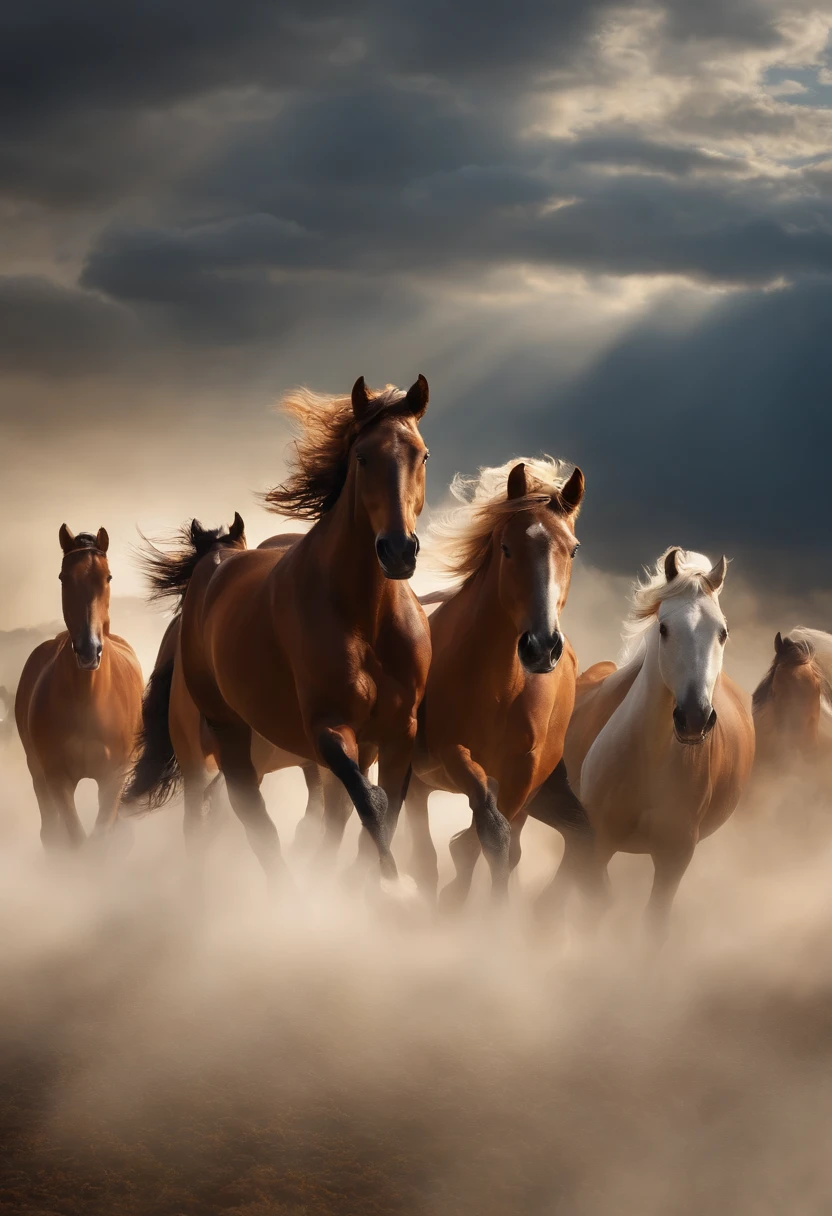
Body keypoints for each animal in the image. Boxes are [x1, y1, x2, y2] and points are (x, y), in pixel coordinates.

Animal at [15, 527, 142, 851]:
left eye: (107, 577)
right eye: (63, 577)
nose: (88, 650)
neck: (89, 699)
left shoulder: (113, 778)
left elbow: (100, 839)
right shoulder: (57, 779)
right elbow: (76, 841)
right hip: (37, 773)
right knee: (50, 832)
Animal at [130, 372, 433, 885]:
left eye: (422, 454)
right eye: (362, 456)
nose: (397, 551)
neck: (367, 616)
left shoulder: (400, 731)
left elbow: (381, 813)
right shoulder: (327, 726)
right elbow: (368, 804)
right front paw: (390, 886)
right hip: (224, 736)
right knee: (246, 817)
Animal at [403, 459, 591, 909]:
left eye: (573, 549)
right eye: (506, 547)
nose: (541, 647)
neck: (504, 686)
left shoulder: (525, 770)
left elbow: (492, 837)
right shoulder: (454, 753)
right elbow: (491, 831)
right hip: (419, 778)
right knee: (423, 848)